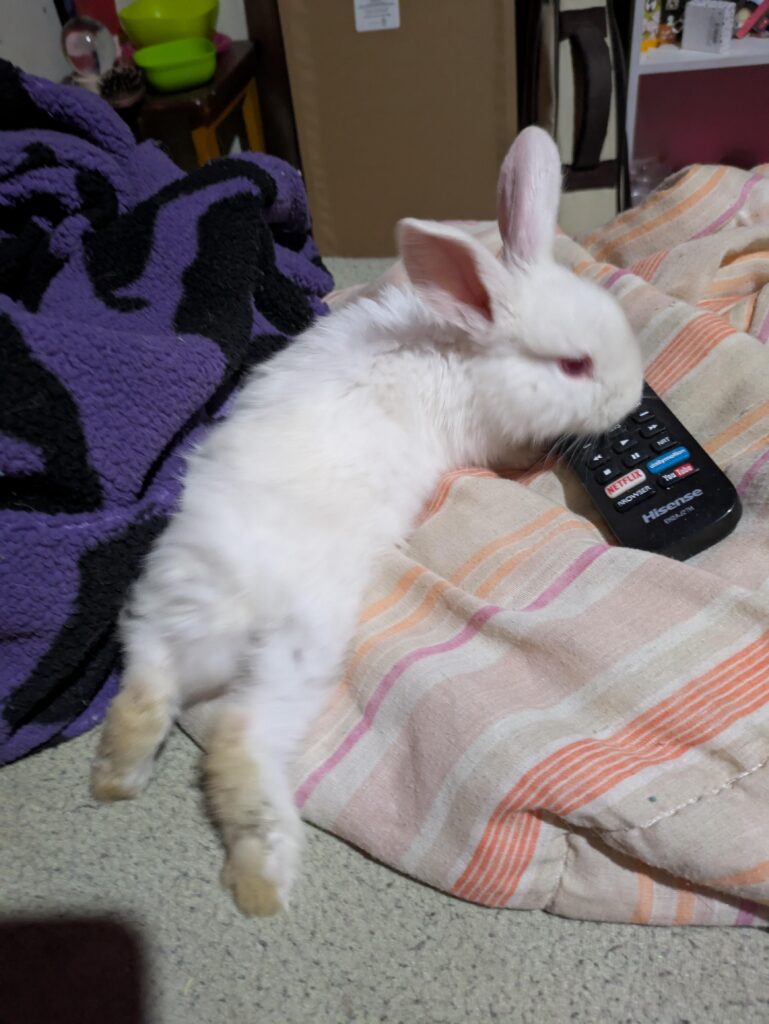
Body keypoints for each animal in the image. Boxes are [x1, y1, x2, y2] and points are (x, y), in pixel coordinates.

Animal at [90, 126, 643, 916]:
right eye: (573, 364)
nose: (634, 402)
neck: (462, 352)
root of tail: (222, 602)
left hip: (167, 617)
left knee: (146, 682)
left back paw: (117, 775)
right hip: (300, 647)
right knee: (238, 738)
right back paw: (263, 881)